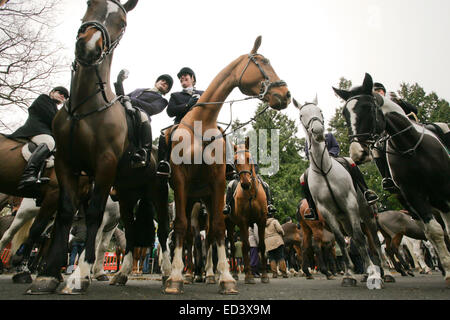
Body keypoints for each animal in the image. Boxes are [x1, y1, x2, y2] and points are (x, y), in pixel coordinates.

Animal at [26, 0, 171, 296]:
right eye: (90, 4)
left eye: (122, 24)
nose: (89, 45)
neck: (83, 109)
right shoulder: (66, 164)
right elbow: (66, 211)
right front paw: (47, 274)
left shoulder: (105, 165)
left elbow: (93, 213)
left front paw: (80, 275)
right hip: (127, 194)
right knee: (130, 229)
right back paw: (122, 275)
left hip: (157, 193)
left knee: (163, 232)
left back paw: (169, 274)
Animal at [224, 139, 268, 284]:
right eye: (235, 161)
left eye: (249, 158)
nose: (245, 183)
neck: (250, 192)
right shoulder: (242, 222)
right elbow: (247, 247)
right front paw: (249, 276)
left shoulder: (261, 221)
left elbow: (262, 245)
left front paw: (265, 275)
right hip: (230, 225)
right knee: (233, 247)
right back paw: (235, 274)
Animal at [294, 96, 384, 288]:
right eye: (301, 115)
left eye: (320, 111)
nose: (318, 130)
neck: (323, 169)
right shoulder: (327, 212)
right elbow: (342, 241)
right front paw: (349, 274)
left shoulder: (350, 205)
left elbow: (360, 239)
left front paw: (371, 272)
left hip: (366, 215)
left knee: (372, 241)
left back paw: (383, 272)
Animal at [332, 72, 450, 288]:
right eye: (345, 114)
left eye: (368, 108)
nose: (357, 152)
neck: (410, 147)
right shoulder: (414, 196)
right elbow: (435, 232)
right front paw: (447, 272)